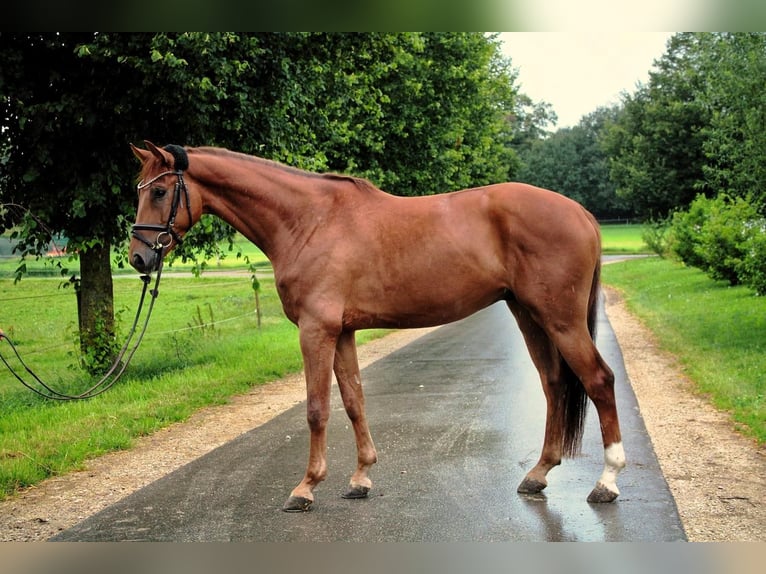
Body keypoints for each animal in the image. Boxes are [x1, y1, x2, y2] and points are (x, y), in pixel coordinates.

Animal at [129, 142, 628, 510]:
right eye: (140, 189)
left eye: (159, 192)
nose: (138, 258)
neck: (309, 222)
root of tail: (581, 213)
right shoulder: (343, 332)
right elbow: (354, 402)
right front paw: (360, 478)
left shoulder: (316, 330)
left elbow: (317, 409)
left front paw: (305, 488)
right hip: (529, 315)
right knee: (554, 384)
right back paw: (538, 474)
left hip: (559, 318)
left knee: (598, 380)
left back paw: (607, 482)